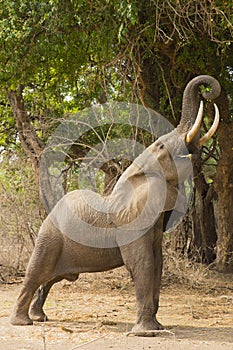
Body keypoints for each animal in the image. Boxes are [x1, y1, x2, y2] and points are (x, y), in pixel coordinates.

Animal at [10, 74, 221, 334]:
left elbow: (157, 263)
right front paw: (146, 333)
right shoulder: (130, 222)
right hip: (49, 237)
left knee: (49, 279)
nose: (208, 92)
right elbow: (142, 263)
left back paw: (39, 317)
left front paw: (157, 327)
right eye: (162, 146)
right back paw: (22, 322)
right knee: (35, 273)